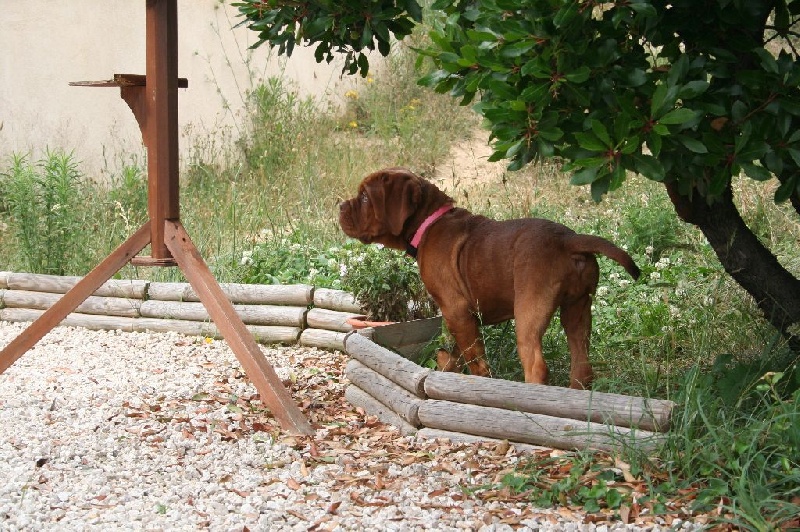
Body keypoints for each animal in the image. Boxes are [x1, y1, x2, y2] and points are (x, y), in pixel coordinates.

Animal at [340, 168, 640, 388]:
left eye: (365, 197)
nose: (340, 206)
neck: (429, 223)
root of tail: (568, 240)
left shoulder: (457, 310)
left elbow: (475, 358)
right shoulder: (456, 316)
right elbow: (452, 352)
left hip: (529, 311)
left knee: (536, 365)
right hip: (578, 308)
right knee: (582, 366)